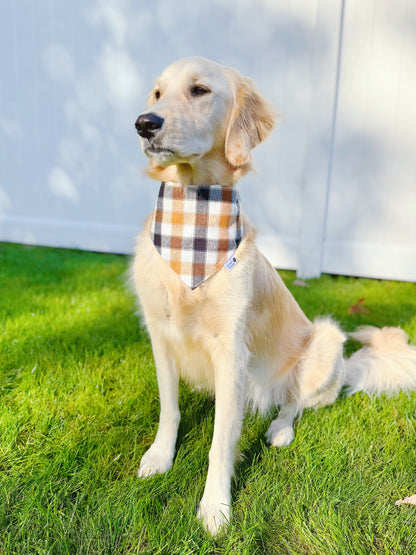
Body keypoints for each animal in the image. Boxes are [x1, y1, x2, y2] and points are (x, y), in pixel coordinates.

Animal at [132, 55, 416, 536]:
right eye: (157, 93)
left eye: (199, 90)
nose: (144, 124)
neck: (192, 220)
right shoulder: (161, 334)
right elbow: (169, 410)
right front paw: (159, 457)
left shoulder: (231, 352)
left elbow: (221, 442)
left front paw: (215, 508)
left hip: (325, 344)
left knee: (295, 404)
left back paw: (280, 430)